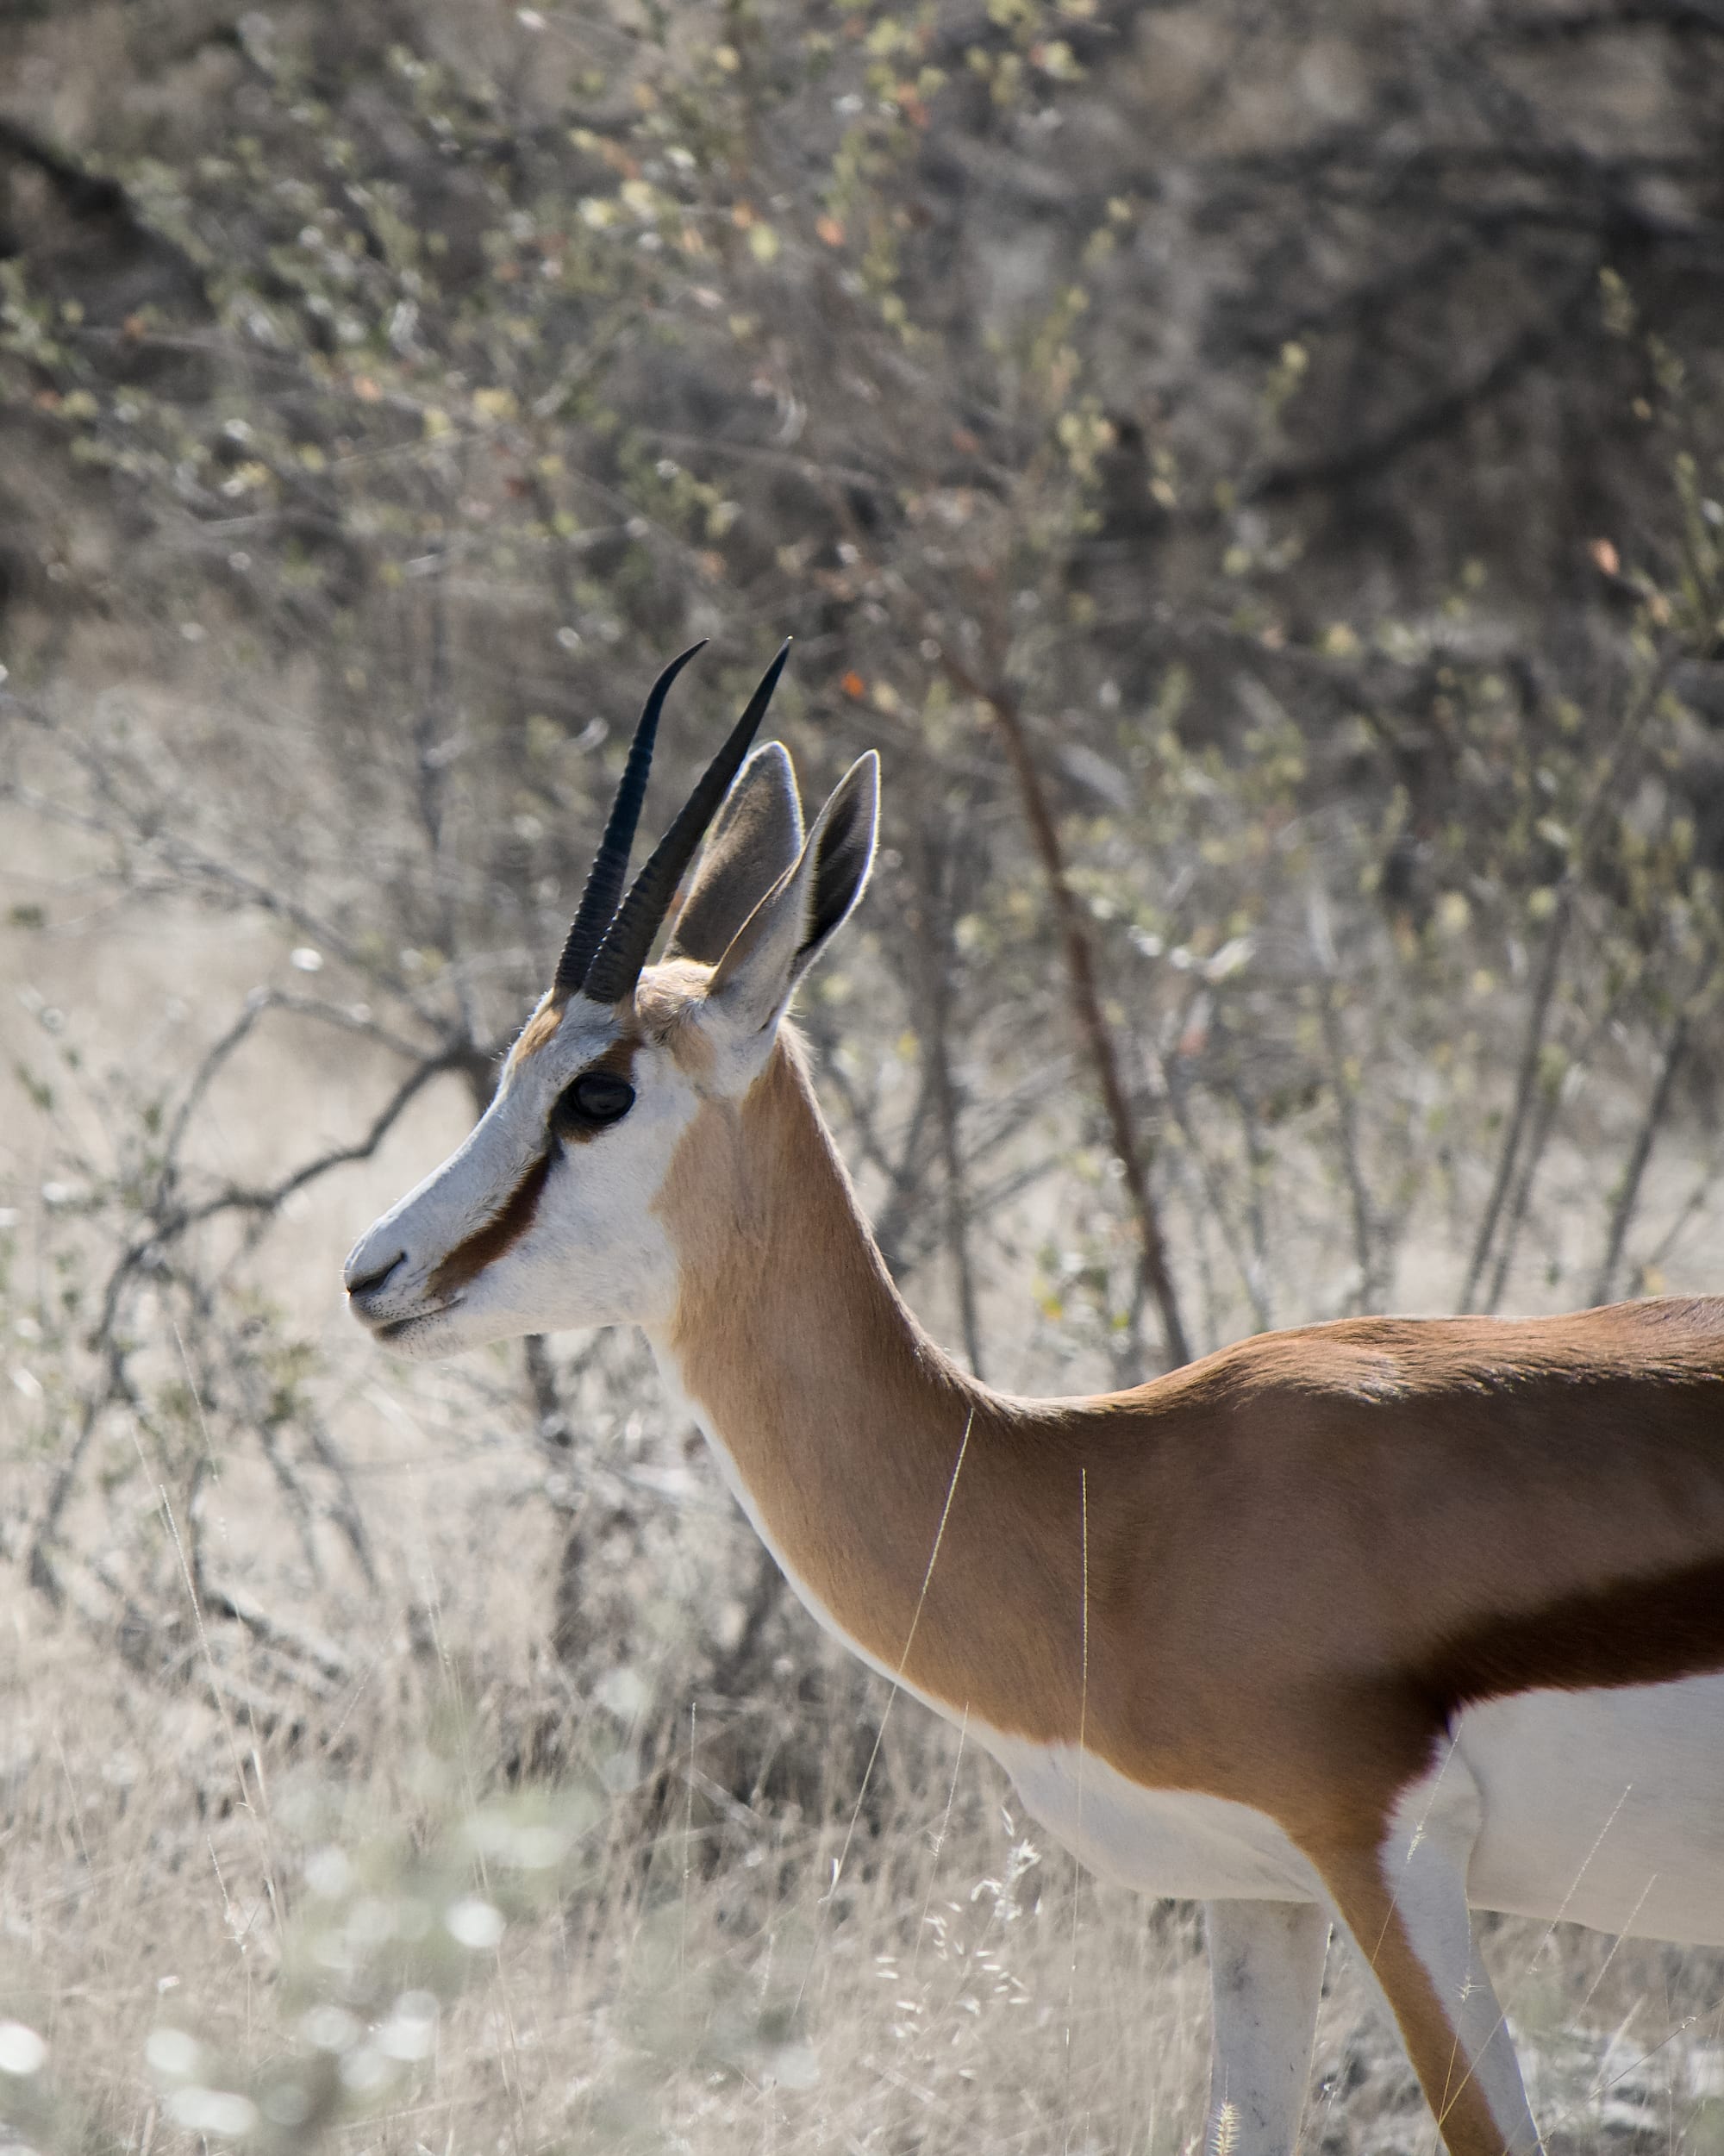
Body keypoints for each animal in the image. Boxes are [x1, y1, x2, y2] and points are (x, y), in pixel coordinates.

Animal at [345, 644, 1724, 2156]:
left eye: (597, 1092)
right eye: (517, 1064)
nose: (373, 1271)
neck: (1109, 1512)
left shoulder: (1390, 1853)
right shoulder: (1258, 1887)